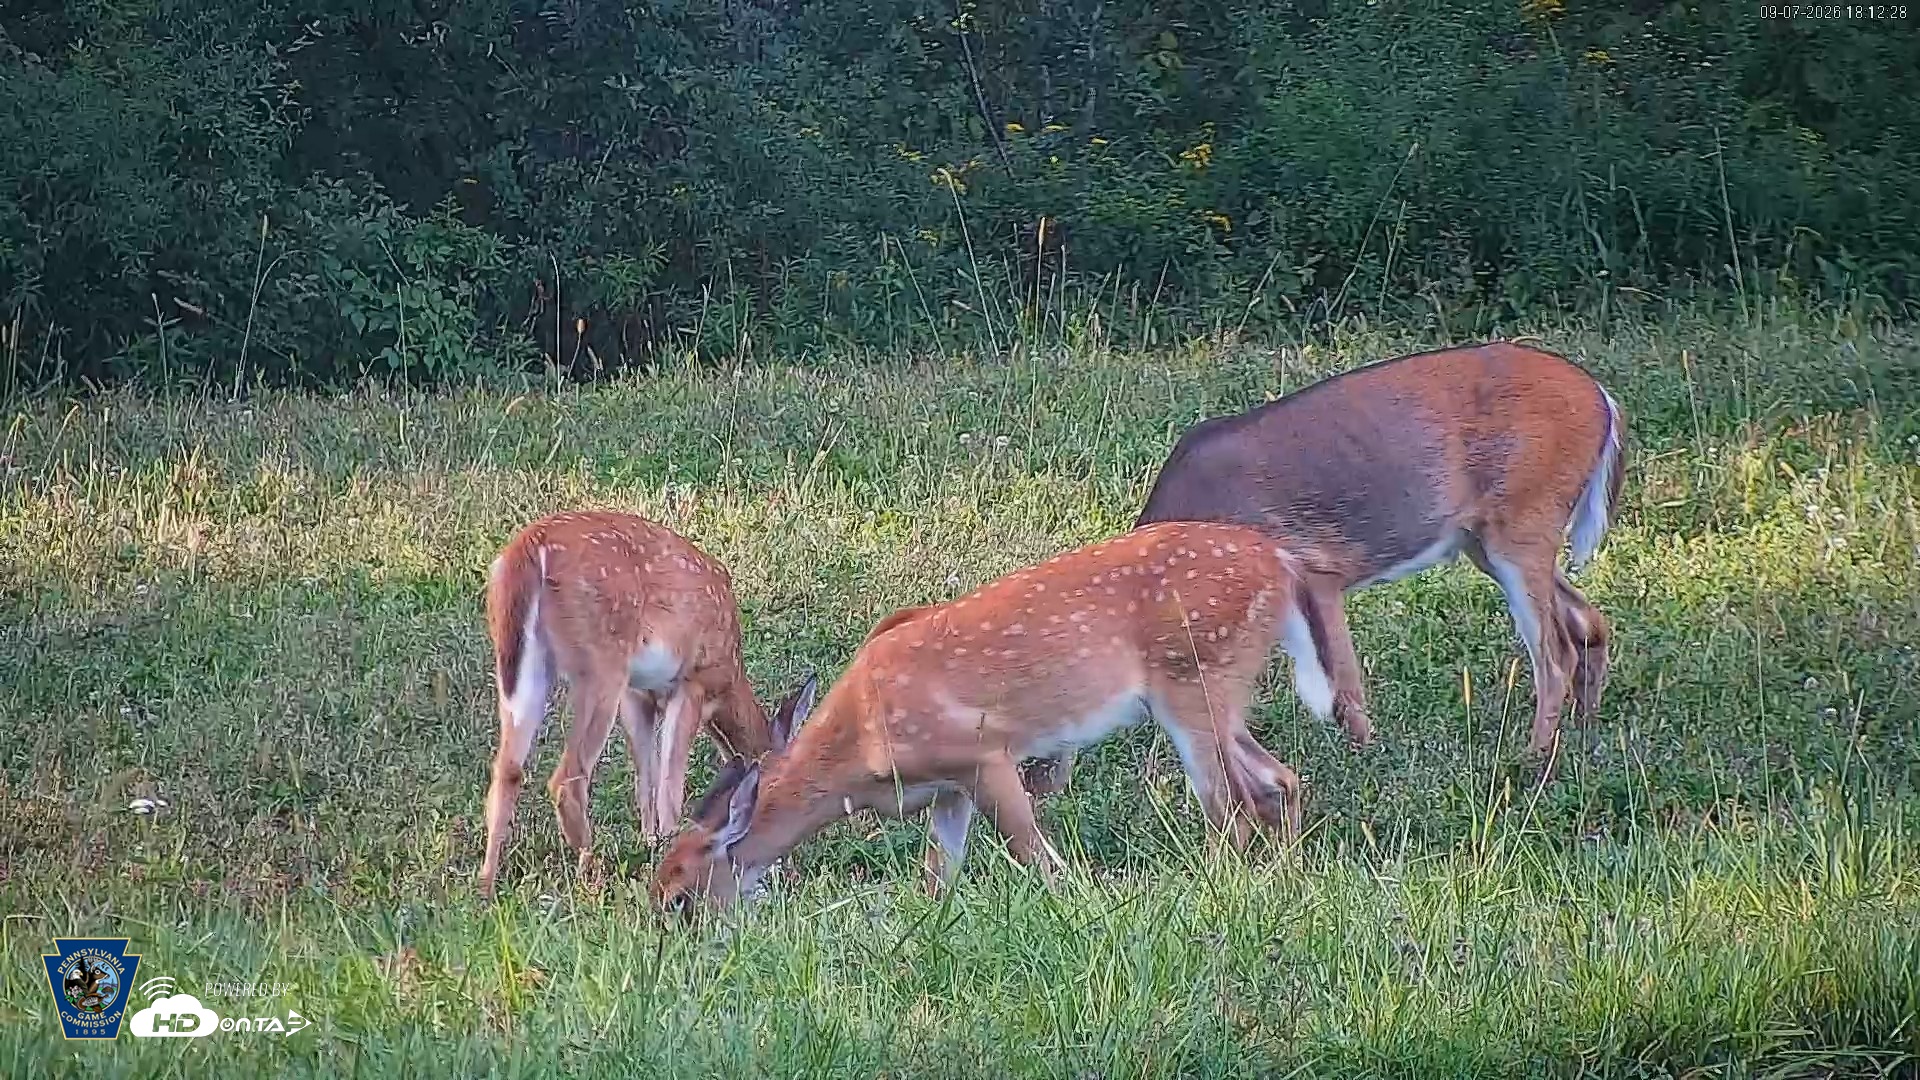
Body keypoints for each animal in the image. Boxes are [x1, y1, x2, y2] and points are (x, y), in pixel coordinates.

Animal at [476, 509, 811, 897]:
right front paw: (670, 853)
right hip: (601, 664)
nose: (787, 866)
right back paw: (592, 875)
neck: (729, 681)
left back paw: (485, 885)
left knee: (507, 769)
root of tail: (527, 549)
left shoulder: (638, 695)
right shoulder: (690, 683)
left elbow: (646, 779)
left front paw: (651, 845)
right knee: (568, 778)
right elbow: (670, 788)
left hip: (522, 666)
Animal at [648, 520, 1337, 914]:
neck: (861, 747)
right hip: (1217, 694)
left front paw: (1079, 907)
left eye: (679, 899)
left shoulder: (982, 754)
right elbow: (937, 878)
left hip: (1194, 682)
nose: (665, 942)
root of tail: (1281, 564)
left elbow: (1036, 855)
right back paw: (1285, 879)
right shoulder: (947, 789)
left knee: (1231, 806)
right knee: (1280, 779)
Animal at [1019, 341, 1626, 798]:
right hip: (1487, 537)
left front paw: (1367, 762)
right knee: (1587, 619)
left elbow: (1343, 690)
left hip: (1524, 515)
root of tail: (1604, 399)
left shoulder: (1314, 568)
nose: (1034, 788)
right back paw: (1586, 732)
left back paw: (1531, 760)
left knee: (1555, 650)